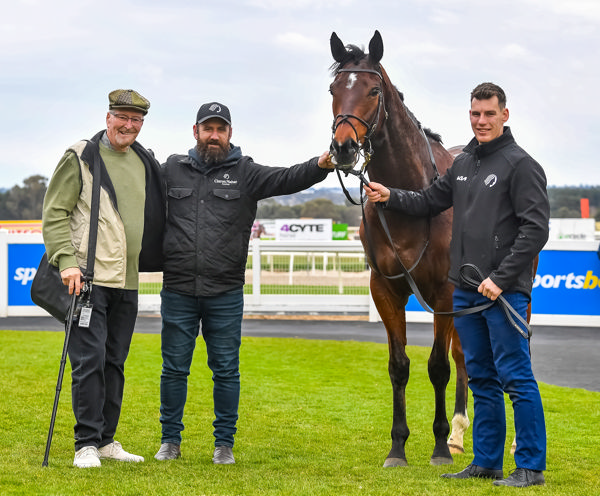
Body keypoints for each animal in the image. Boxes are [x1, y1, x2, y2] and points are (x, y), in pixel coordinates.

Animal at [328, 30, 468, 464]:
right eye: (334, 89)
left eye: (374, 90)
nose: (342, 147)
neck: (413, 197)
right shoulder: (385, 288)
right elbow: (399, 365)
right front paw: (398, 446)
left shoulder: (445, 292)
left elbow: (438, 366)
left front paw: (438, 447)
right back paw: (460, 434)